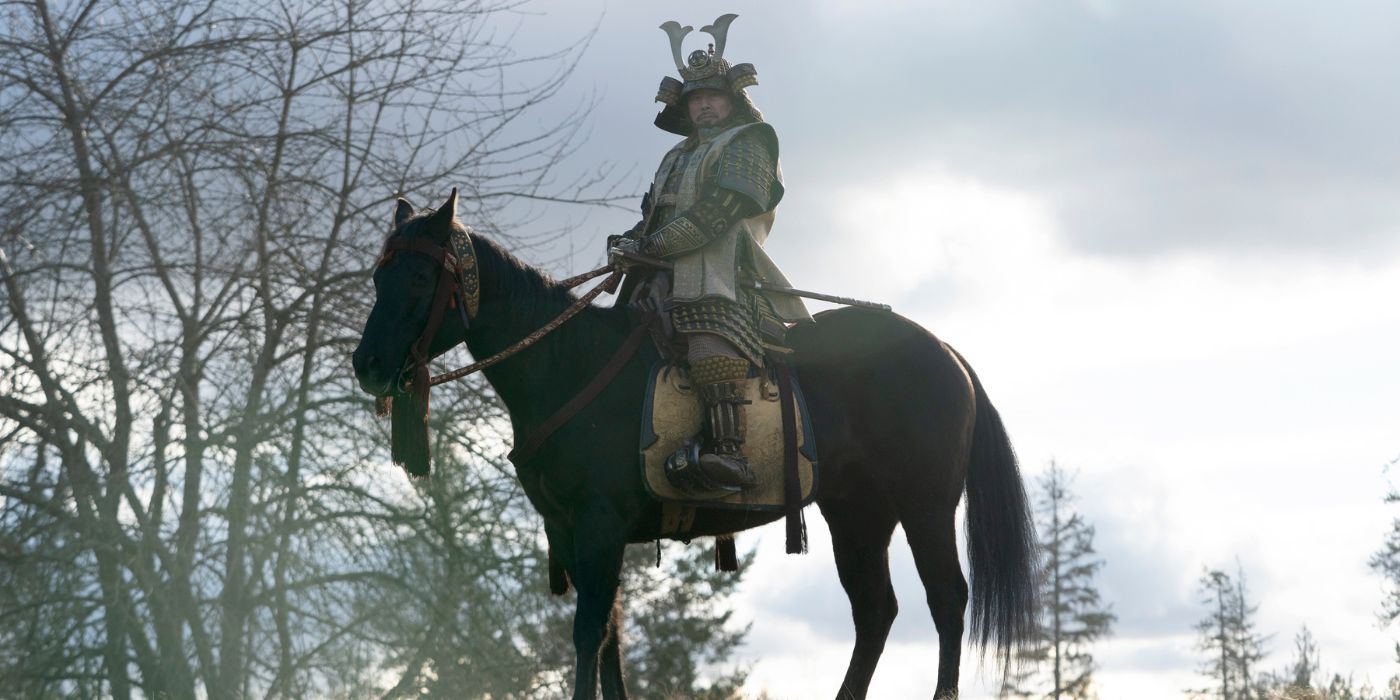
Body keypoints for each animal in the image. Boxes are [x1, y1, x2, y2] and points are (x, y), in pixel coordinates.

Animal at [352, 193, 1041, 700]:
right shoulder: (574, 531)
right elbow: (609, 637)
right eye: (380, 273)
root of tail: (945, 352)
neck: (567, 364)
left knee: (946, 599)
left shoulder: (599, 525)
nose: (368, 364)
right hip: (857, 512)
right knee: (875, 611)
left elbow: (587, 632)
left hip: (925, 505)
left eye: (420, 274)